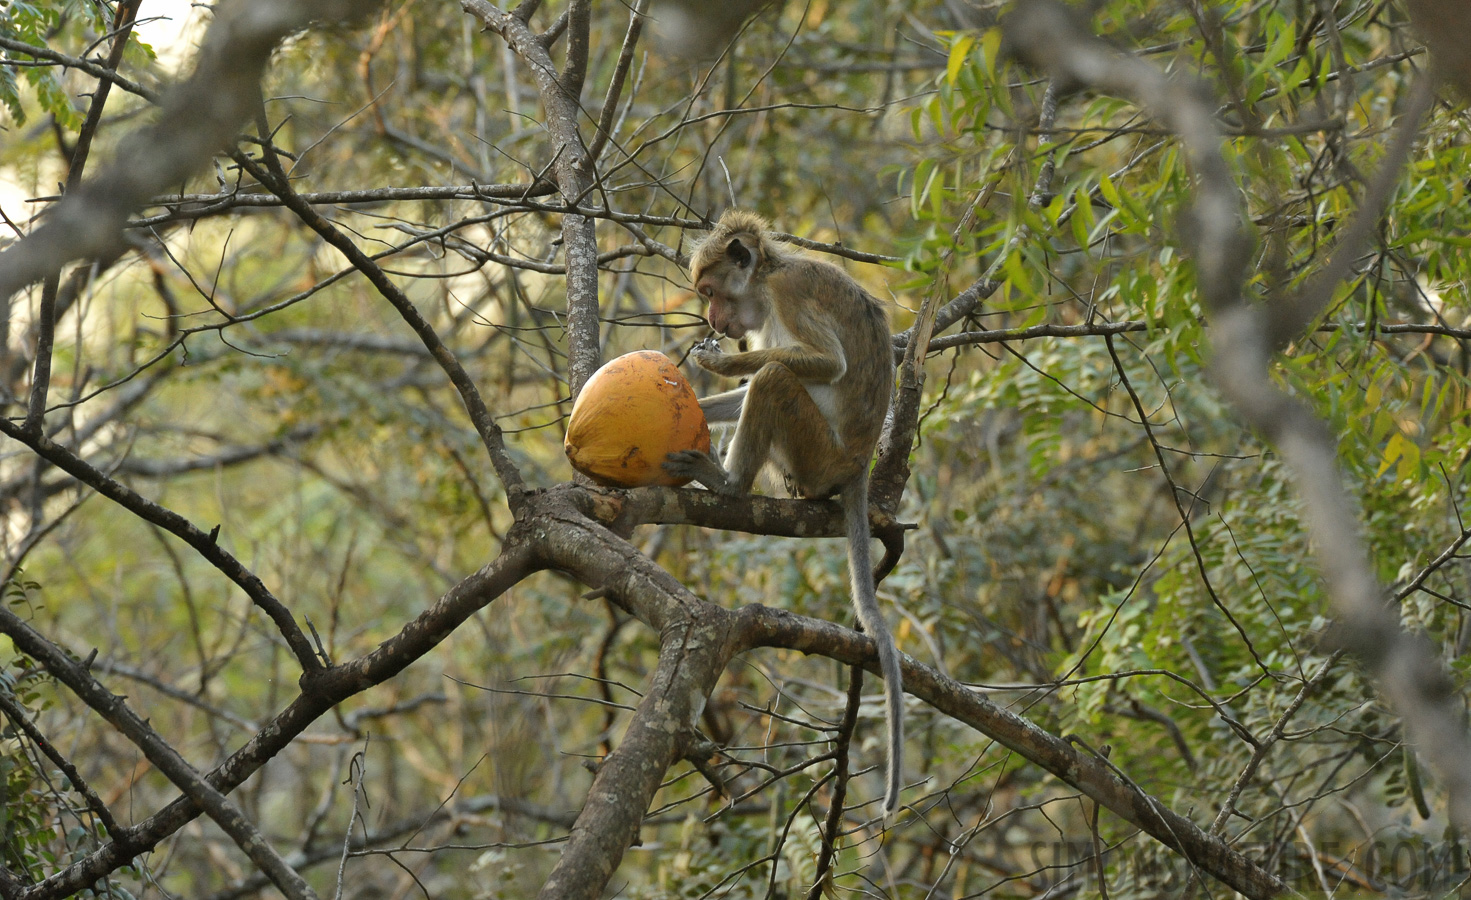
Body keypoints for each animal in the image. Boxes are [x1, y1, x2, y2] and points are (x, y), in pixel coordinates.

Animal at [661, 210, 900, 817]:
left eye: (709, 291)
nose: (712, 319)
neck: (767, 277)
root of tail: (857, 464)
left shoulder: (788, 293)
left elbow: (826, 363)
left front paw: (721, 361)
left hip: (817, 453)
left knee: (775, 380)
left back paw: (729, 485)